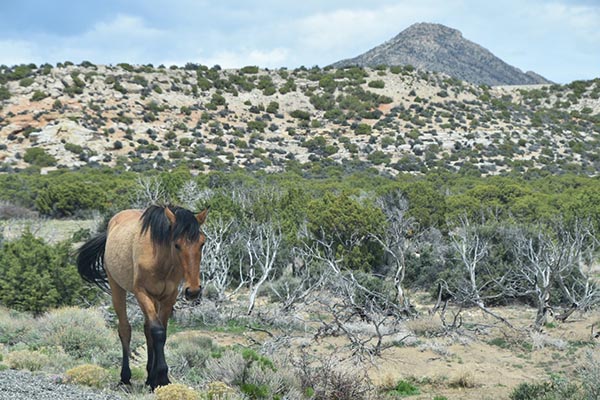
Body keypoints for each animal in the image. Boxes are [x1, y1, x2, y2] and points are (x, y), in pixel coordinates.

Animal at [77, 205, 209, 390]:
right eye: (176, 245)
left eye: (202, 243)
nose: (193, 291)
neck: (160, 258)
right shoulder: (142, 293)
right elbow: (158, 332)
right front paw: (162, 377)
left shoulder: (168, 297)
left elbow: (160, 331)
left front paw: (155, 378)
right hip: (117, 288)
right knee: (125, 329)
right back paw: (125, 378)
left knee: (147, 330)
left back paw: (148, 376)